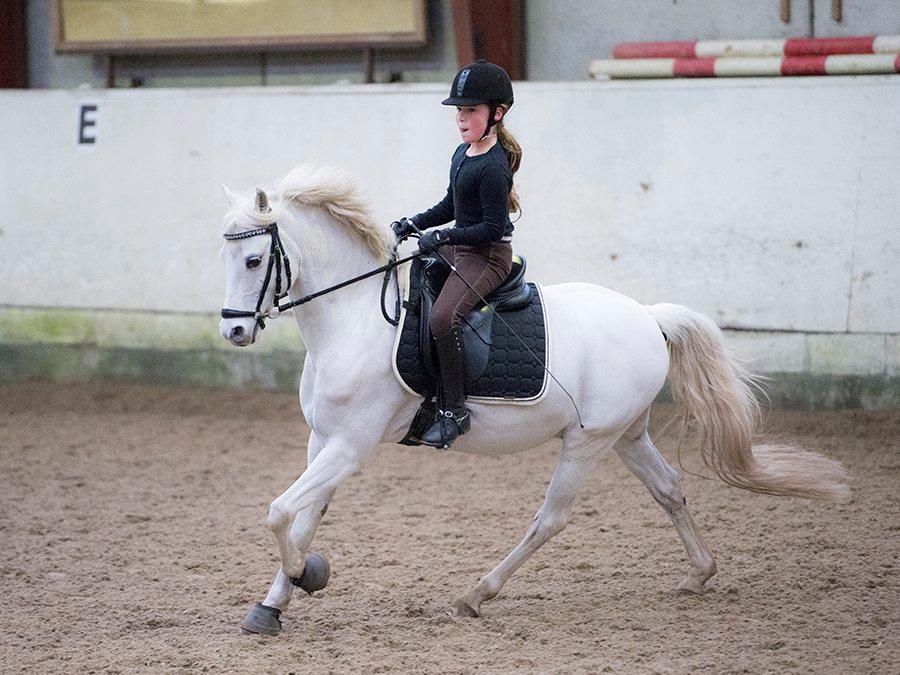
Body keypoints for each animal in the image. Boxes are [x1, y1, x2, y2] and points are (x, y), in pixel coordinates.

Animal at [220, 166, 852, 636]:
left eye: (253, 260)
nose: (234, 332)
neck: (353, 322)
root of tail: (648, 317)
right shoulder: (322, 440)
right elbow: (302, 518)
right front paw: (273, 604)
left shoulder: (351, 446)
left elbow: (279, 511)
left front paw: (305, 575)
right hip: (627, 435)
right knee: (669, 488)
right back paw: (699, 574)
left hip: (588, 442)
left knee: (551, 518)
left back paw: (476, 594)